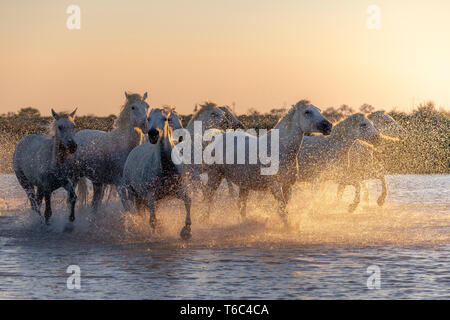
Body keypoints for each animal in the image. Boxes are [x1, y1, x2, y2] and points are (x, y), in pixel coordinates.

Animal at [119, 109, 192, 239]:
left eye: (166, 119)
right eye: (148, 118)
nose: (153, 133)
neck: (167, 168)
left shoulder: (182, 188)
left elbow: (188, 201)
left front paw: (186, 231)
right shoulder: (150, 195)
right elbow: (152, 220)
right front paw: (157, 233)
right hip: (132, 193)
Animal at [202, 100, 332, 220]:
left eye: (319, 110)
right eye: (307, 112)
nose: (328, 126)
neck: (280, 149)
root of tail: (216, 138)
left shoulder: (287, 185)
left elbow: (284, 207)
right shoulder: (274, 185)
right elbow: (282, 208)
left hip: (243, 184)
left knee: (241, 204)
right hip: (216, 175)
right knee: (208, 198)